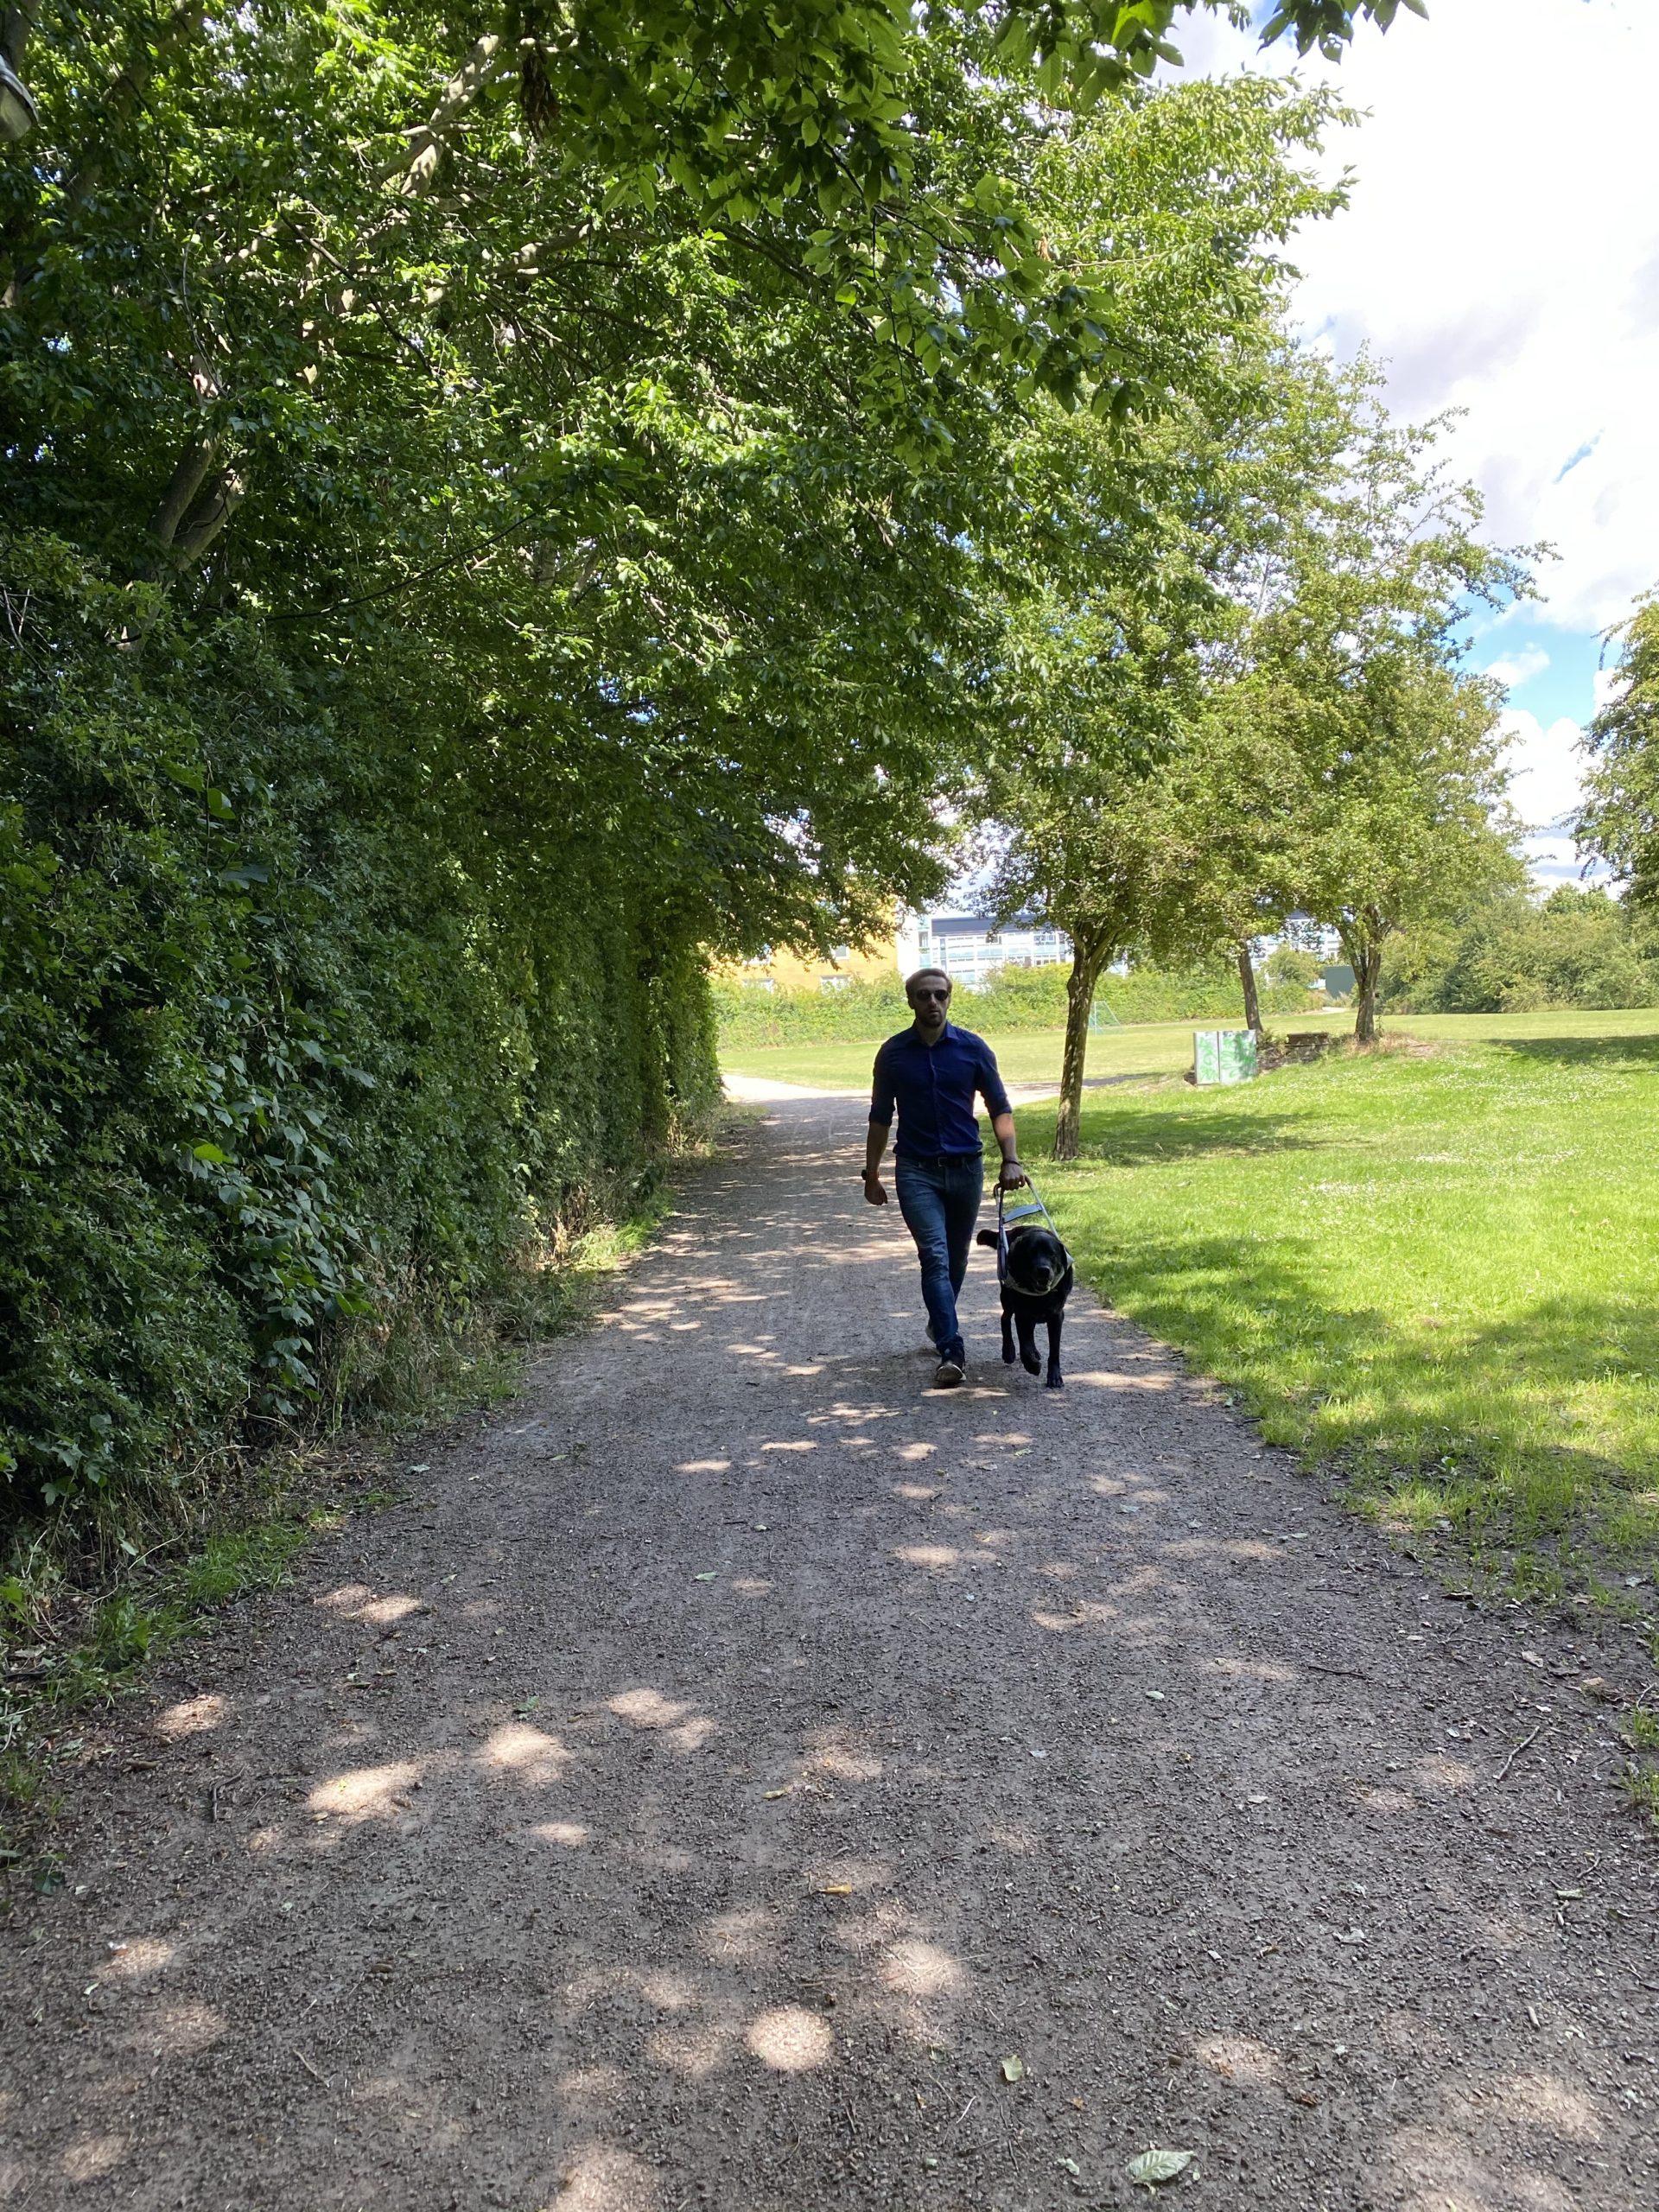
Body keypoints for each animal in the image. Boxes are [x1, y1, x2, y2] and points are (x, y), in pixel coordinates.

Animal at [973, 1221, 1079, 1389]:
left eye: (1051, 1254)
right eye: (1031, 1253)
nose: (1044, 1270)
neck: (1040, 1295)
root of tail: (1009, 1231)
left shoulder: (1056, 1316)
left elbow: (1054, 1350)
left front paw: (1054, 1376)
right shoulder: (1022, 1315)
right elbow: (1024, 1347)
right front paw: (1032, 1365)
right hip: (1007, 1298)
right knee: (1005, 1319)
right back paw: (1008, 1351)